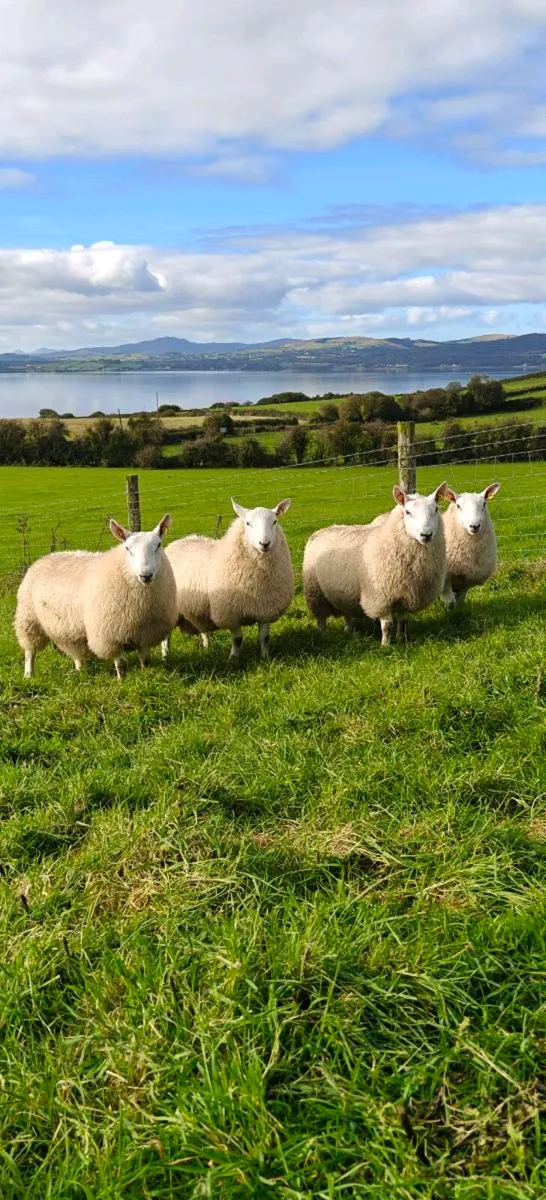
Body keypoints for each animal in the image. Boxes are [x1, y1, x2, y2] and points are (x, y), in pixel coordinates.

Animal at [15, 514, 177, 679]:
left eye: (158, 545)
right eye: (127, 548)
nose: (146, 575)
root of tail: (42, 559)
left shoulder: (145, 633)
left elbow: (145, 660)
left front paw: (146, 676)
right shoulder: (109, 636)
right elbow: (121, 664)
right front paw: (121, 681)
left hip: (71, 630)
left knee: (76, 651)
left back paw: (79, 670)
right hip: (29, 620)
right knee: (29, 652)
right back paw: (28, 675)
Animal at [162, 498, 294, 663]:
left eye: (274, 521)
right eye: (248, 523)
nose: (265, 544)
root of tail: (175, 543)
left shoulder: (264, 609)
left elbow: (264, 637)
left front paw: (266, 657)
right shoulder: (230, 613)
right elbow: (237, 639)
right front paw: (233, 660)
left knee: (203, 630)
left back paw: (207, 648)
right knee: (165, 636)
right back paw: (165, 656)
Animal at [303, 483, 448, 645]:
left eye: (436, 509)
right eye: (408, 512)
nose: (426, 535)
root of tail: (322, 530)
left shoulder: (408, 595)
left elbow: (403, 622)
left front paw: (401, 639)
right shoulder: (381, 597)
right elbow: (387, 625)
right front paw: (385, 645)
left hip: (345, 592)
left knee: (347, 613)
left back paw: (348, 631)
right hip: (315, 592)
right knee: (321, 618)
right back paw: (322, 634)